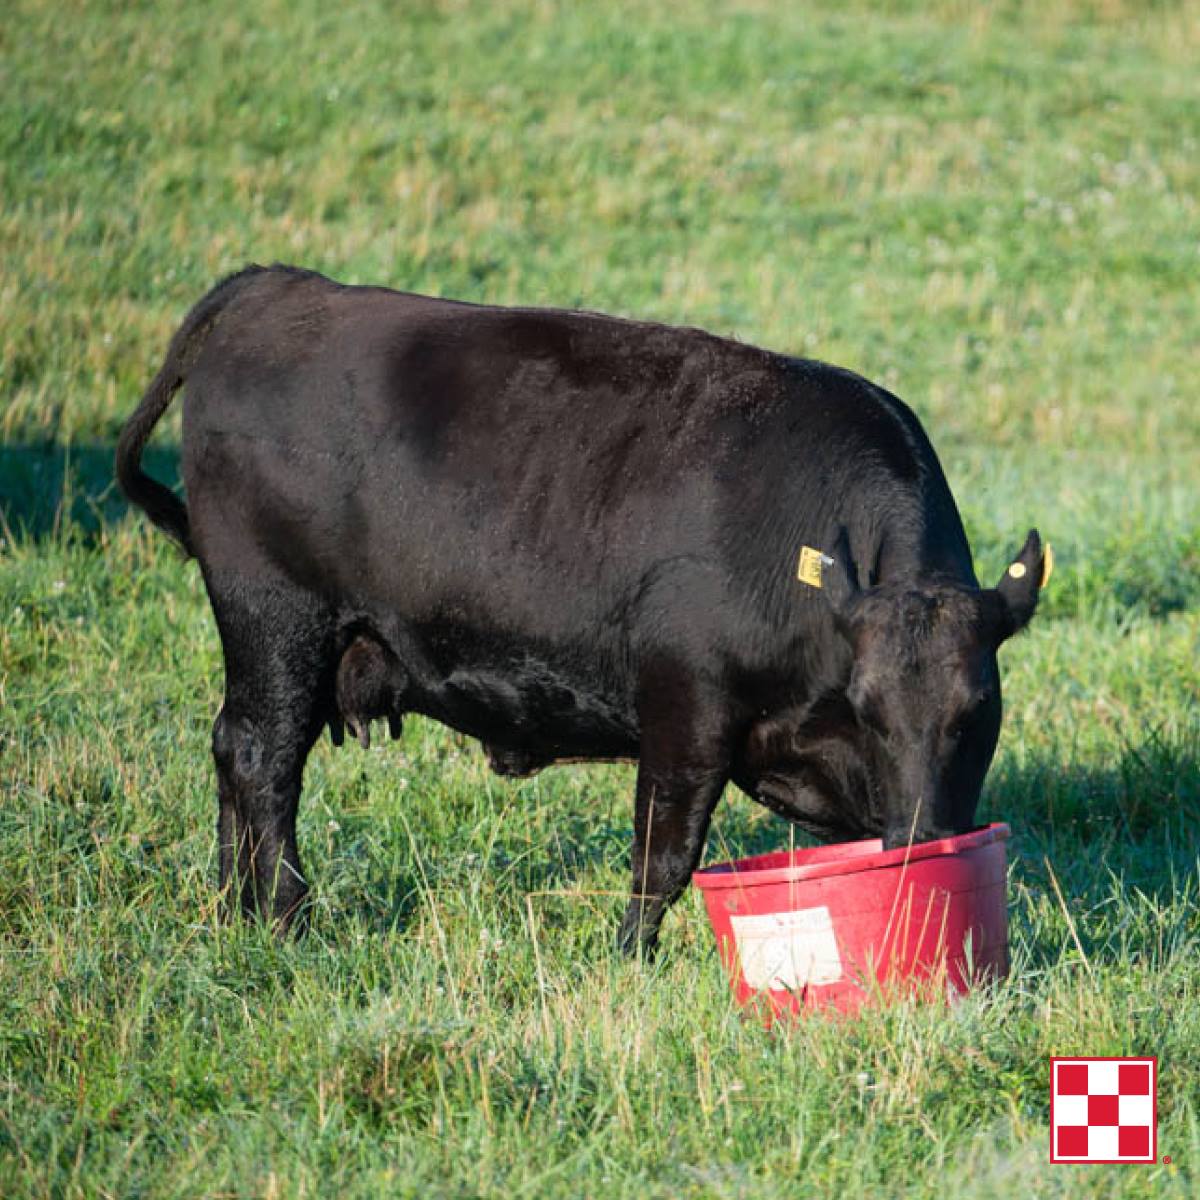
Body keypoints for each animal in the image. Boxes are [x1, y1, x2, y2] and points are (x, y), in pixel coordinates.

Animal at [116, 264, 1046, 954]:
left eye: (978, 710)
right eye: (869, 707)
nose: (924, 831)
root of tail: (277, 286)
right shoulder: (686, 711)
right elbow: (663, 857)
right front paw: (631, 959)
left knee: (233, 747)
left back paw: (236, 910)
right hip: (277, 618)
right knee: (263, 762)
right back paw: (287, 920)